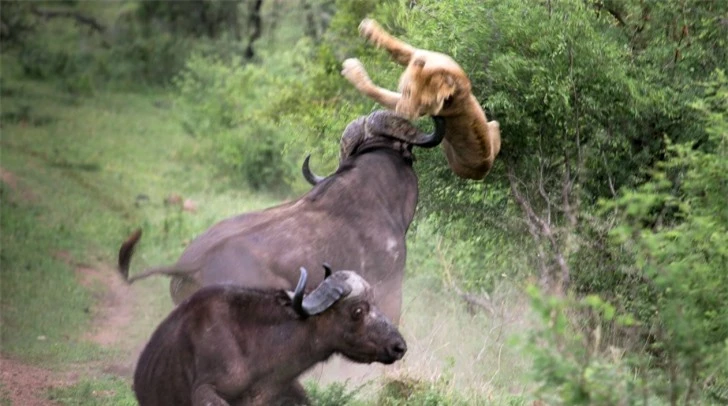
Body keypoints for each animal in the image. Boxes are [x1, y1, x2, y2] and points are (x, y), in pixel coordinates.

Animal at [342, 17, 500, 179]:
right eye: (408, 92)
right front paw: (369, 29)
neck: (442, 72)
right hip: (493, 125)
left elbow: (377, 92)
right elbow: (396, 46)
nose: (404, 114)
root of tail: (485, 167)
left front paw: (352, 70)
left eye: (425, 104)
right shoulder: (420, 54)